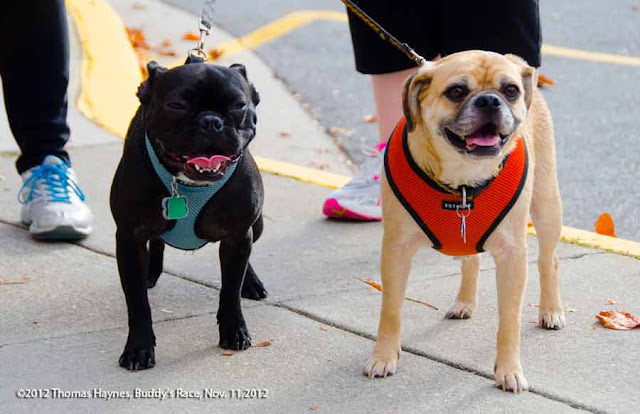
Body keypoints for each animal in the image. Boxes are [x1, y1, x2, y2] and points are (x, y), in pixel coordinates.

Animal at [111, 62, 266, 372]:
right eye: (176, 105)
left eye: (239, 105)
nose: (211, 122)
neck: (187, 184)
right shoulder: (129, 238)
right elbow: (137, 302)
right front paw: (139, 347)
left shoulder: (237, 236)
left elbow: (230, 290)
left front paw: (234, 330)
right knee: (156, 241)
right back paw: (151, 271)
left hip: (257, 225)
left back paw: (251, 281)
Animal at [364, 50, 564, 392]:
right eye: (456, 91)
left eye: (510, 91)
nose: (490, 100)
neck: (463, 180)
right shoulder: (395, 251)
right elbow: (390, 310)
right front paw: (384, 355)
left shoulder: (513, 257)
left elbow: (509, 321)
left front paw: (509, 369)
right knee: (470, 260)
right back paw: (464, 302)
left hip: (547, 206)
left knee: (548, 260)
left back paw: (550, 310)